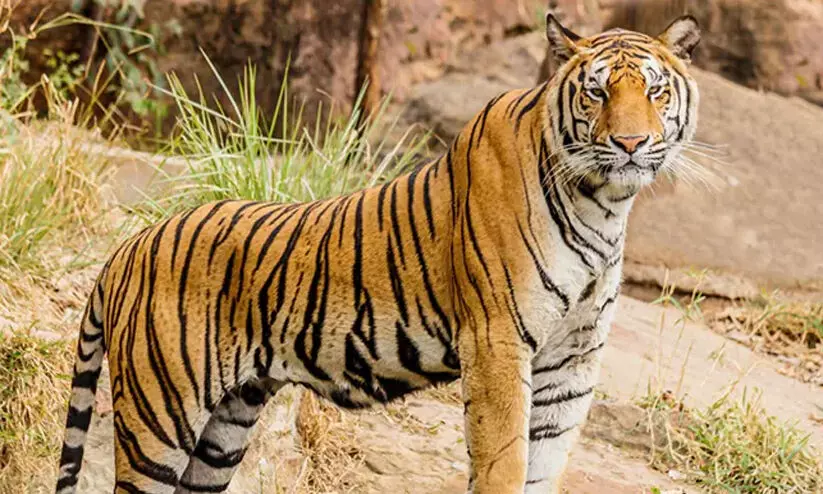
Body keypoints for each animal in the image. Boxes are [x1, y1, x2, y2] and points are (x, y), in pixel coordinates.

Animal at [56, 13, 700, 494]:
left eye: (655, 89)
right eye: (597, 91)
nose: (631, 143)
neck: (604, 204)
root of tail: (128, 247)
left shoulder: (573, 360)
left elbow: (544, 466)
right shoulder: (496, 341)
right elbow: (505, 462)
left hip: (225, 426)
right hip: (159, 416)